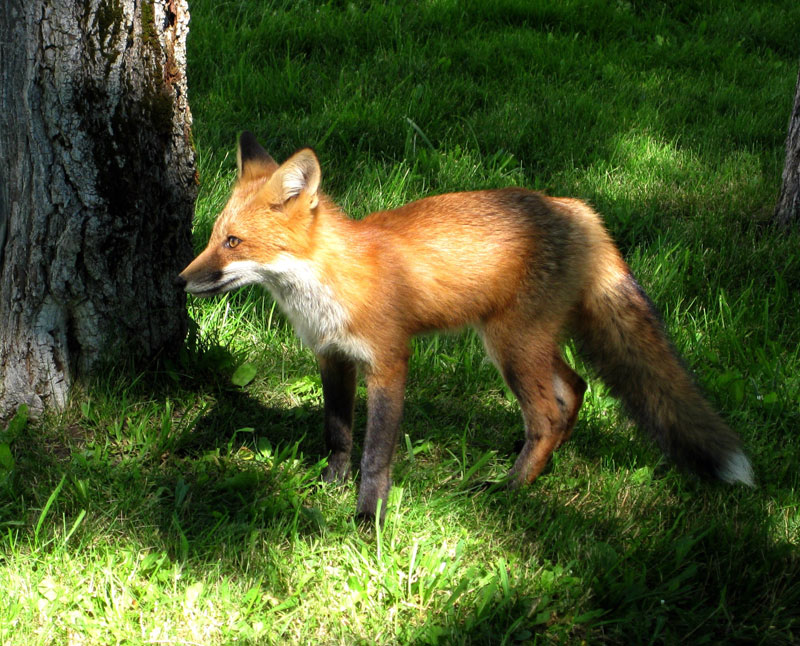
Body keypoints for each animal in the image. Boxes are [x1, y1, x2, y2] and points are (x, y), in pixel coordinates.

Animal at [178, 134, 752, 524]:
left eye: (233, 242)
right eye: (212, 237)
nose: (180, 279)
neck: (325, 288)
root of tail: (577, 209)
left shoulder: (389, 361)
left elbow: (375, 454)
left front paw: (367, 518)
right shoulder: (333, 357)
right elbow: (338, 433)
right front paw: (329, 484)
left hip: (510, 346)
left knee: (548, 412)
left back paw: (511, 488)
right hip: (528, 342)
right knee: (575, 389)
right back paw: (536, 467)